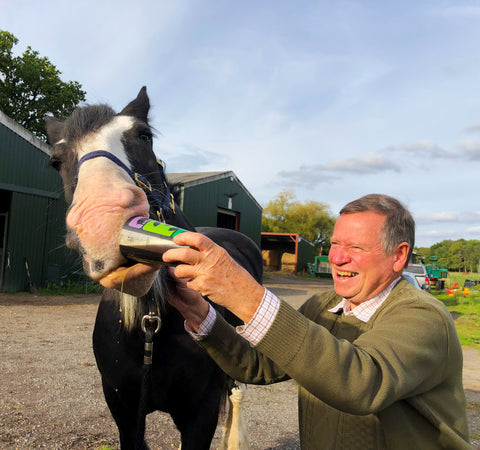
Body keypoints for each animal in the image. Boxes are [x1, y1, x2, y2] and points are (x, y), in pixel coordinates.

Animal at [45, 86, 262, 448]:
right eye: (55, 161)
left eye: (144, 136)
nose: (103, 220)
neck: (150, 325)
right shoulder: (124, 413)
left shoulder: (200, 415)